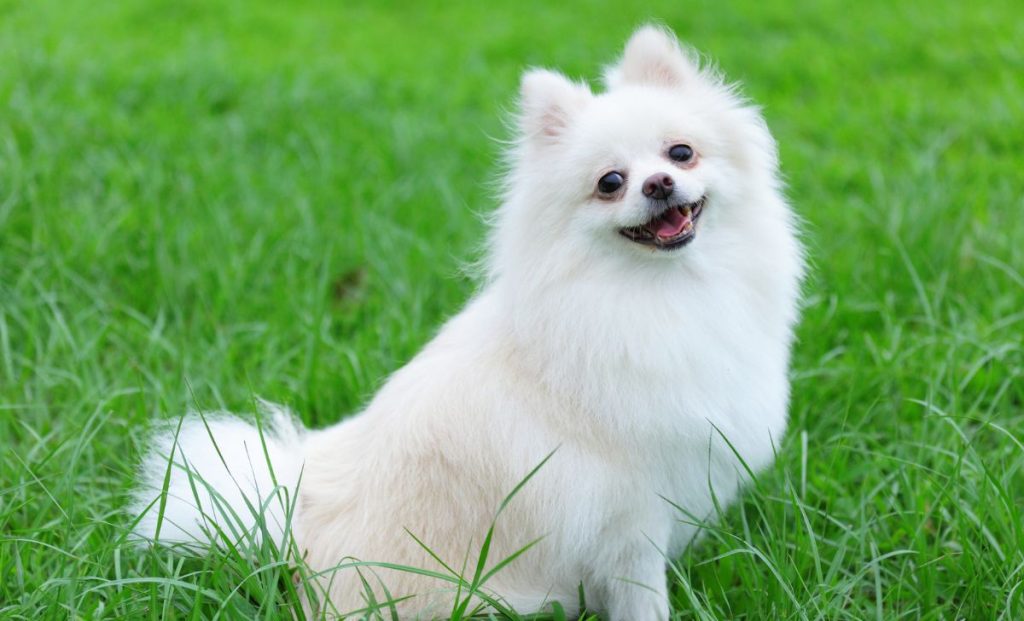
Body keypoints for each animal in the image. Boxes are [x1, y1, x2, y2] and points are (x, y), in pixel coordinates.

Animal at [134, 25, 806, 621]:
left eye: (681, 152)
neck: (657, 291)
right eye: (610, 183)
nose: (660, 182)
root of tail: (297, 526)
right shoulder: (629, 512)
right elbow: (643, 595)